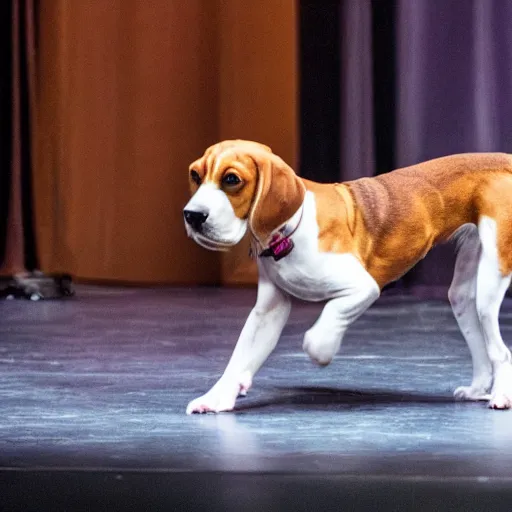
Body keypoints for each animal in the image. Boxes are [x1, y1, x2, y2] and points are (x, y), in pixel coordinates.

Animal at [183, 139, 512, 412]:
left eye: (231, 180)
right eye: (195, 175)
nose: (192, 216)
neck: (290, 231)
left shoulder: (362, 288)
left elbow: (325, 324)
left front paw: (322, 350)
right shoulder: (269, 311)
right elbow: (239, 357)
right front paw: (218, 396)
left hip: (490, 282)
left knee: (501, 352)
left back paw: (501, 396)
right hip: (464, 291)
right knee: (480, 342)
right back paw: (478, 389)